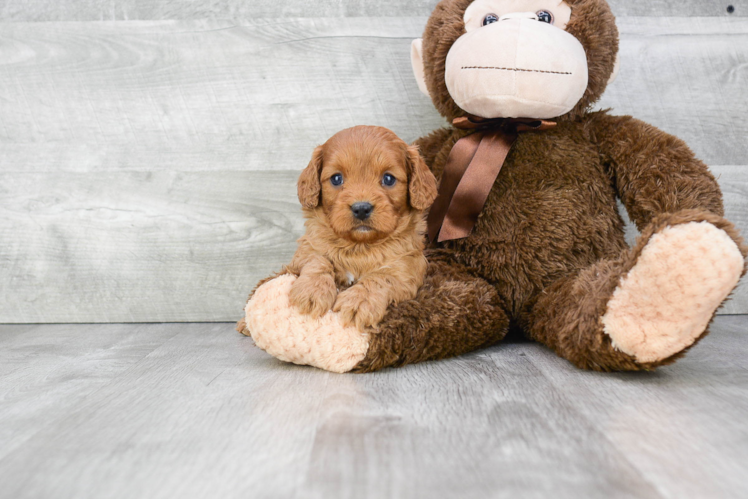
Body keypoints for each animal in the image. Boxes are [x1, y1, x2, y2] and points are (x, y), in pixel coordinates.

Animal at [286, 124, 438, 328]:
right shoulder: (306, 248)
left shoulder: (407, 267)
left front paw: (359, 301)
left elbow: (380, 277)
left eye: (388, 179)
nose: (361, 208)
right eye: (336, 178)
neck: (359, 246)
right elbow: (318, 260)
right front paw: (312, 290)